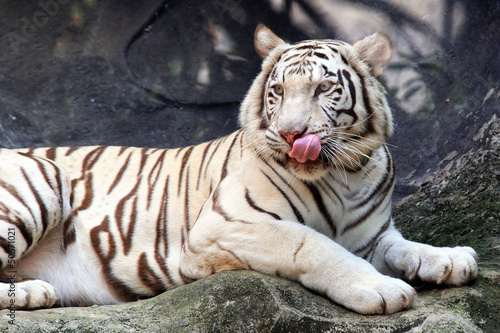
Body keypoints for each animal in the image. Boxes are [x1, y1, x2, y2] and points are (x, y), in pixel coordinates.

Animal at [0, 25, 476, 314]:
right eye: (278, 90)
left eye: (324, 88)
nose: (291, 133)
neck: (345, 174)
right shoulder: (223, 224)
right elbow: (311, 245)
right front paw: (381, 289)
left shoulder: (372, 236)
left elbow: (405, 246)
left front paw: (451, 258)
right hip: (42, 178)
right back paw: (34, 292)